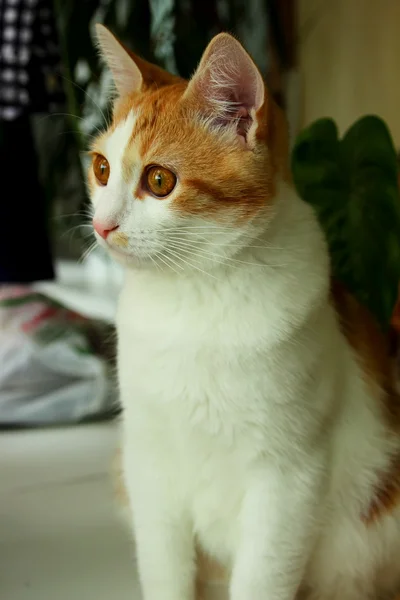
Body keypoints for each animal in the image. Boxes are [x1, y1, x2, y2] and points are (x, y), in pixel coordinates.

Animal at [89, 24, 400, 600]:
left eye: (159, 181)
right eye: (101, 169)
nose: (102, 225)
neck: (194, 296)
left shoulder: (288, 481)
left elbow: (262, 577)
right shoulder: (148, 463)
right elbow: (163, 569)